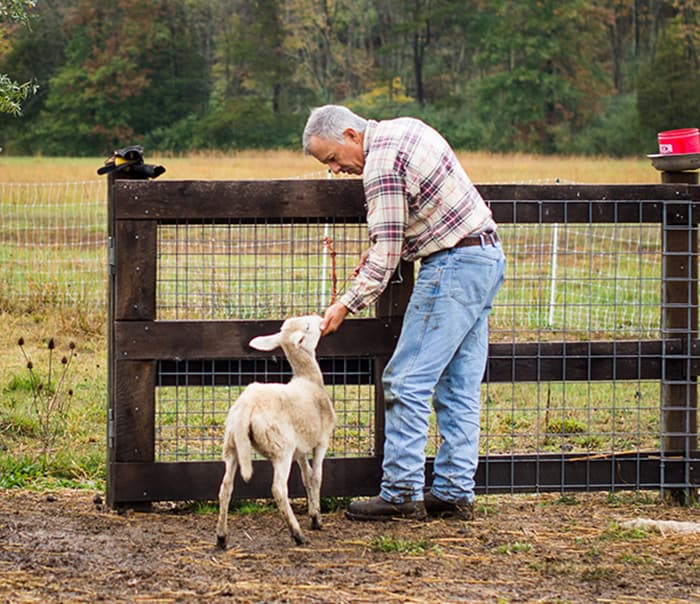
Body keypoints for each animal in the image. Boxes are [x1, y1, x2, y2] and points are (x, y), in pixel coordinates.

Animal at [216, 314, 335, 548]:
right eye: (308, 326)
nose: (320, 317)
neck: (309, 379)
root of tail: (247, 405)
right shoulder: (321, 441)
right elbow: (316, 477)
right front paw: (316, 519)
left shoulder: (300, 449)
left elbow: (307, 477)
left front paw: (312, 513)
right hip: (281, 448)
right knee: (278, 489)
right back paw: (298, 534)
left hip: (232, 444)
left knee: (225, 487)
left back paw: (221, 537)